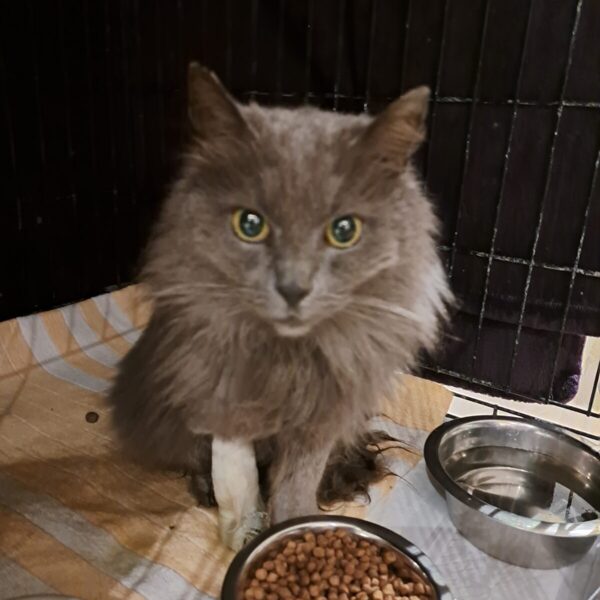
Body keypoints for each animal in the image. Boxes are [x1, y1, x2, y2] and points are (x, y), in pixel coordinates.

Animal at [109, 63, 451, 549]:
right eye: (249, 224)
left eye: (343, 231)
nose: (293, 288)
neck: (289, 355)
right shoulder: (212, 394)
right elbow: (228, 466)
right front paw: (238, 520)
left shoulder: (323, 418)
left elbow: (296, 486)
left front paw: (291, 524)